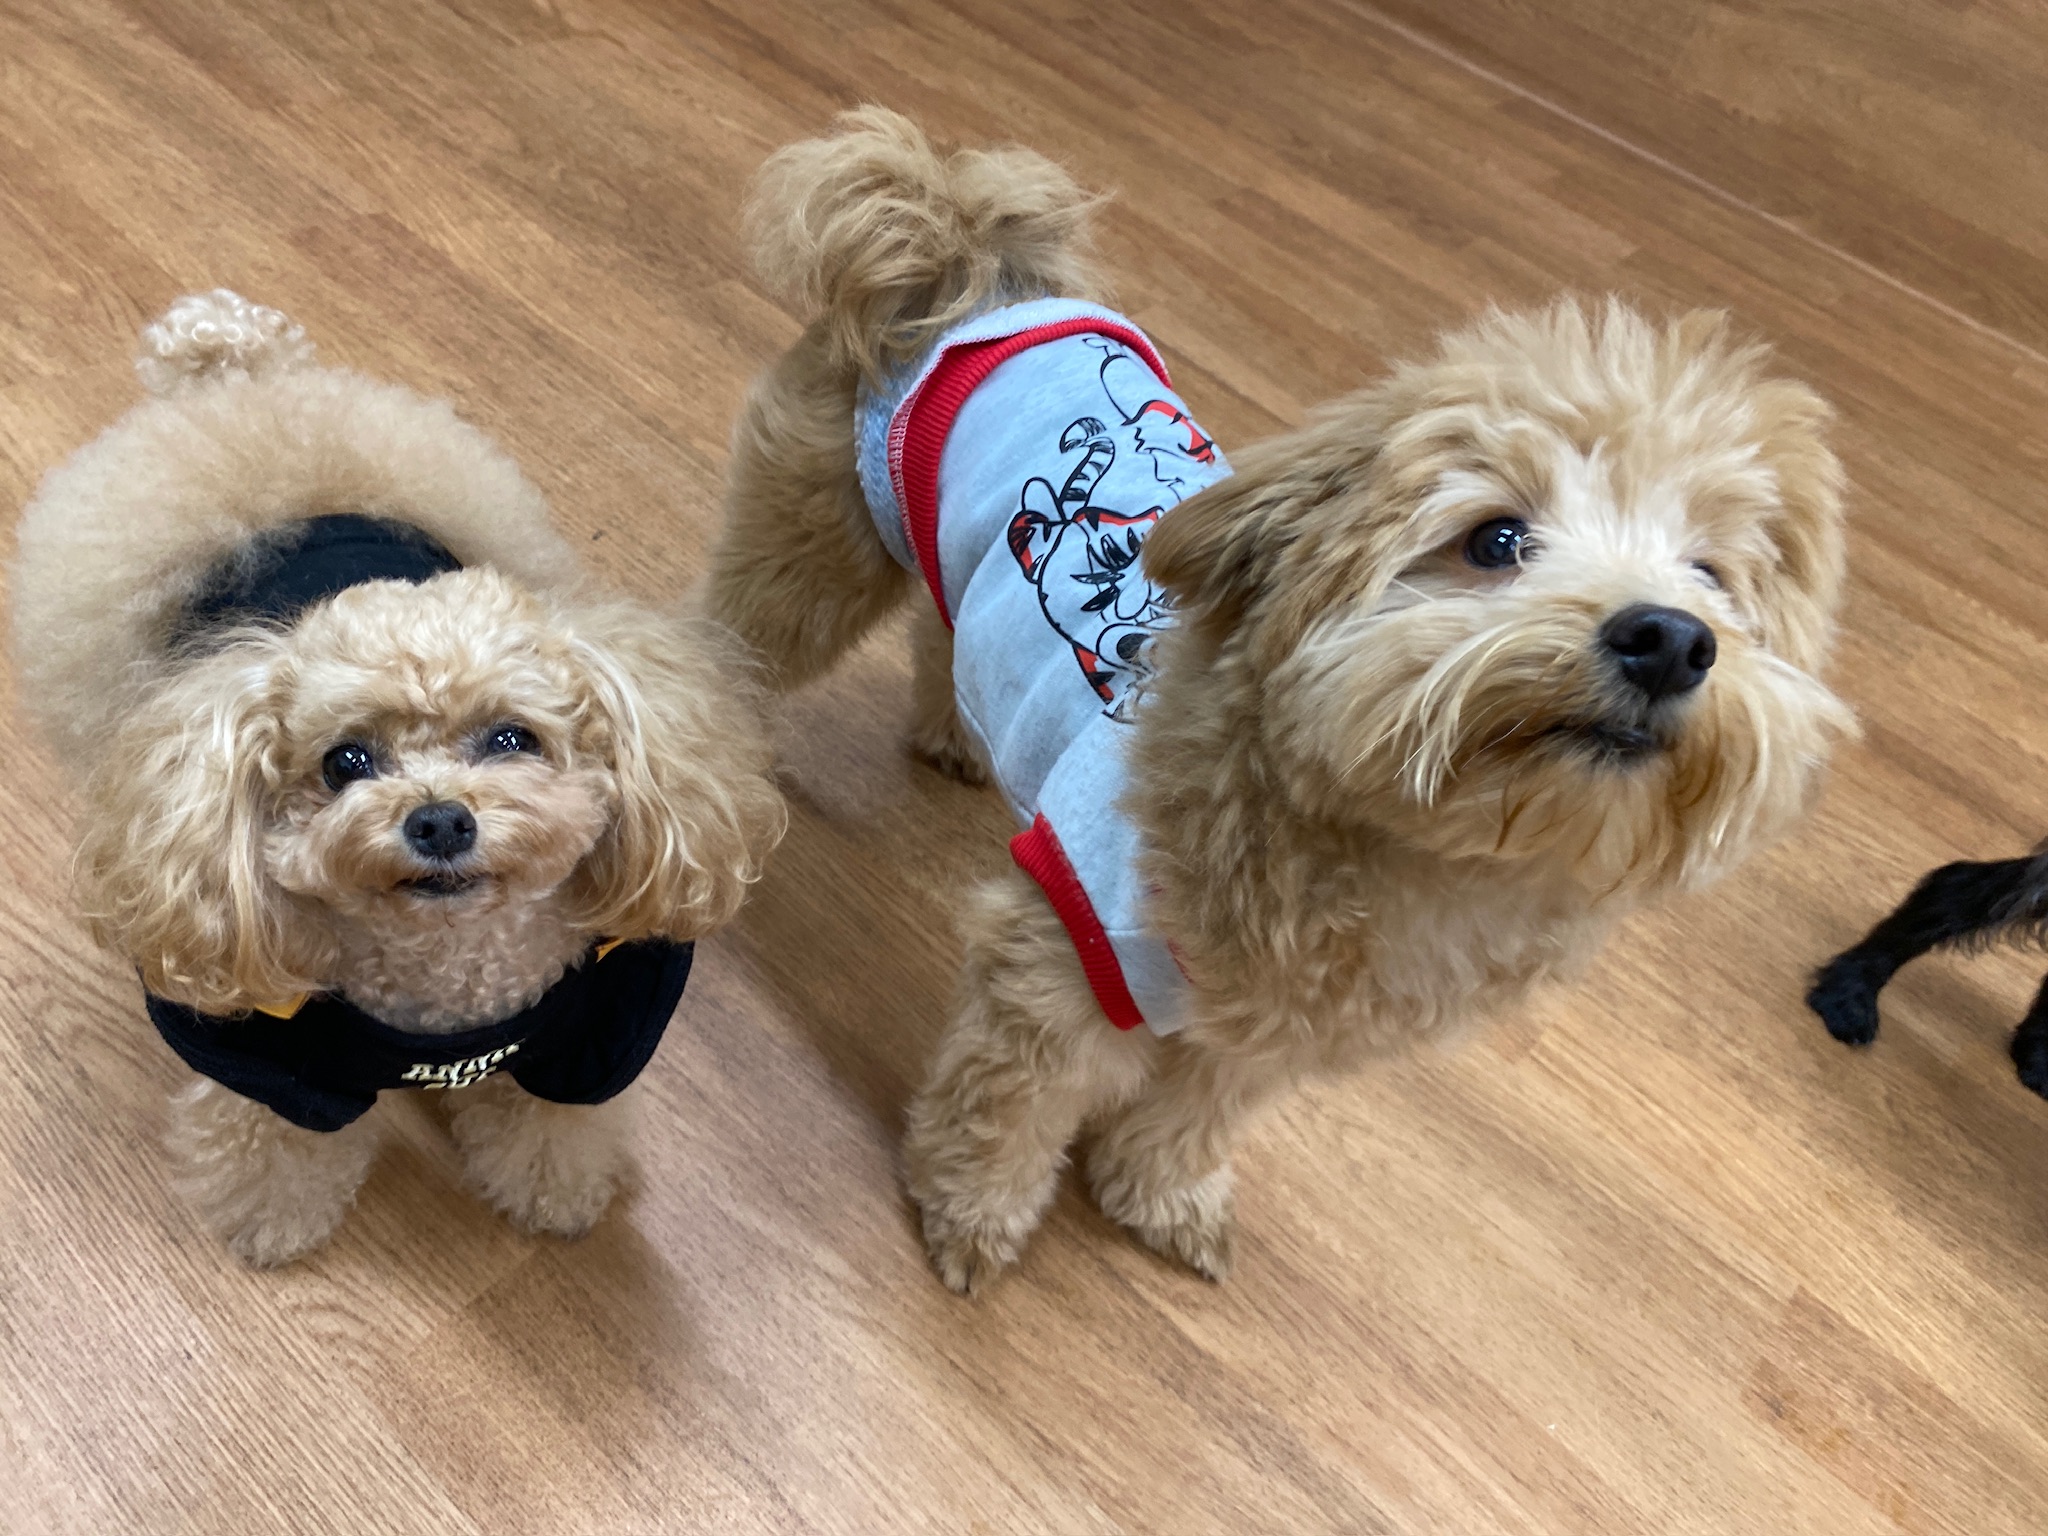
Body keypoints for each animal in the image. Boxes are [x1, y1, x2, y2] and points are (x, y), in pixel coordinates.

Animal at [12, 291, 786, 1265]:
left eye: (512, 739)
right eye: (346, 762)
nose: (441, 821)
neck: (449, 988)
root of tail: (245, 383)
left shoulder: (597, 1025)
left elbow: (549, 1123)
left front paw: (554, 1193)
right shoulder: (267, 1050)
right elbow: (270, 1139)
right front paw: (273, 1220)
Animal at [708, 109, 1853, 1293]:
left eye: (1712, 577)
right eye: (1494, 540)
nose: (1670, 639)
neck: (1398, 858)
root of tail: (962, 263)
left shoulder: (1263, 1033)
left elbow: (1195, 1116)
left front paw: (1159, 1195)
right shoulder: (1059, 975)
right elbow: (1002, 1117)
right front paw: (971, 1216)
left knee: (947, 627)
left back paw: (958, 732)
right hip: (810, 558)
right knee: (736, 643)